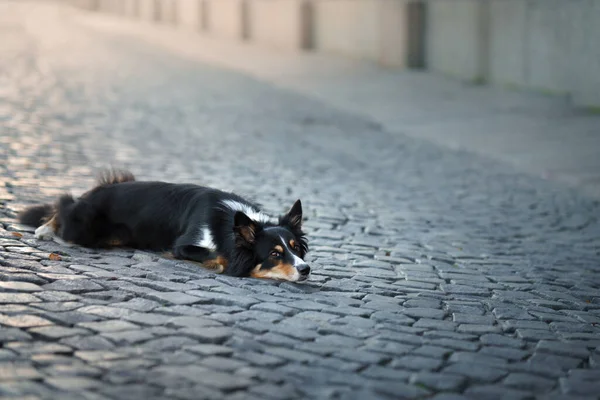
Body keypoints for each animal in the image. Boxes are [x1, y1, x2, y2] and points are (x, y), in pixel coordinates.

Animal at [18, 169, 310, 282]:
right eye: (274, 254)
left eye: (296, 248)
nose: (306, 269)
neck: (228, 225)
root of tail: (95, 193)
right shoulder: (183, 245)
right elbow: (217, 256)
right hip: (87, 228)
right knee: (63, 204)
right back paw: (45, 229)